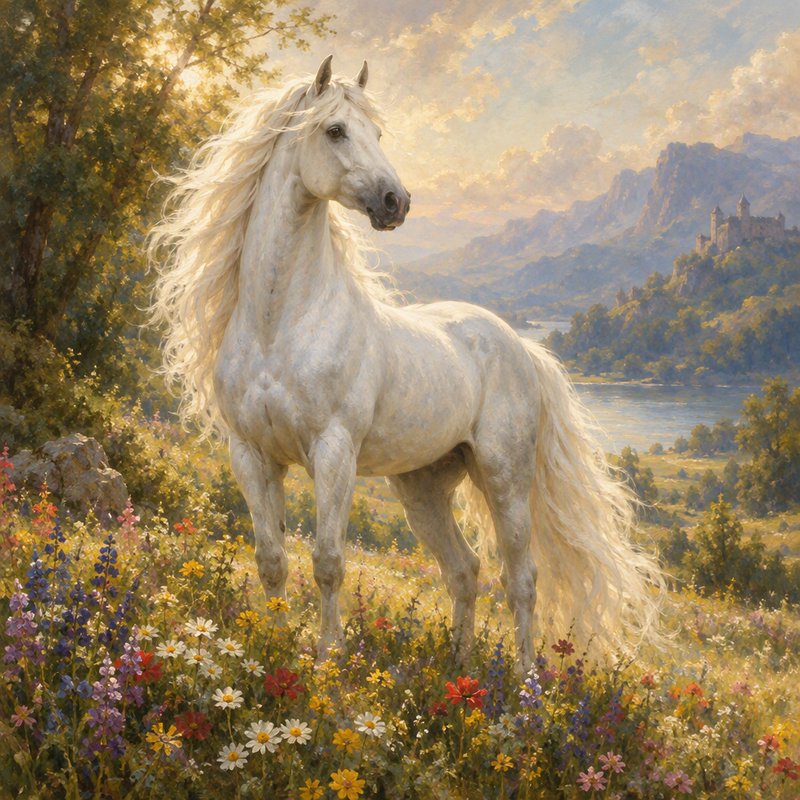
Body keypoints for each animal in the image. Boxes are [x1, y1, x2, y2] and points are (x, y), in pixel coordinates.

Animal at [150, 56, 664, 669]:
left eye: (378, 133)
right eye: (335, 130)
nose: (397, 202)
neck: (281, 325)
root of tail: (523, 347)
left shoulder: (334, 453)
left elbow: (328, 563)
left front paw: (328, 660)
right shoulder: (251, 454)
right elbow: (272, 560)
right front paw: (269, 650)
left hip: (504, 477)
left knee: (522, 579)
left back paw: (524, 682)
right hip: (422, 487)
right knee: (465, 570)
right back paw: (457, 669)